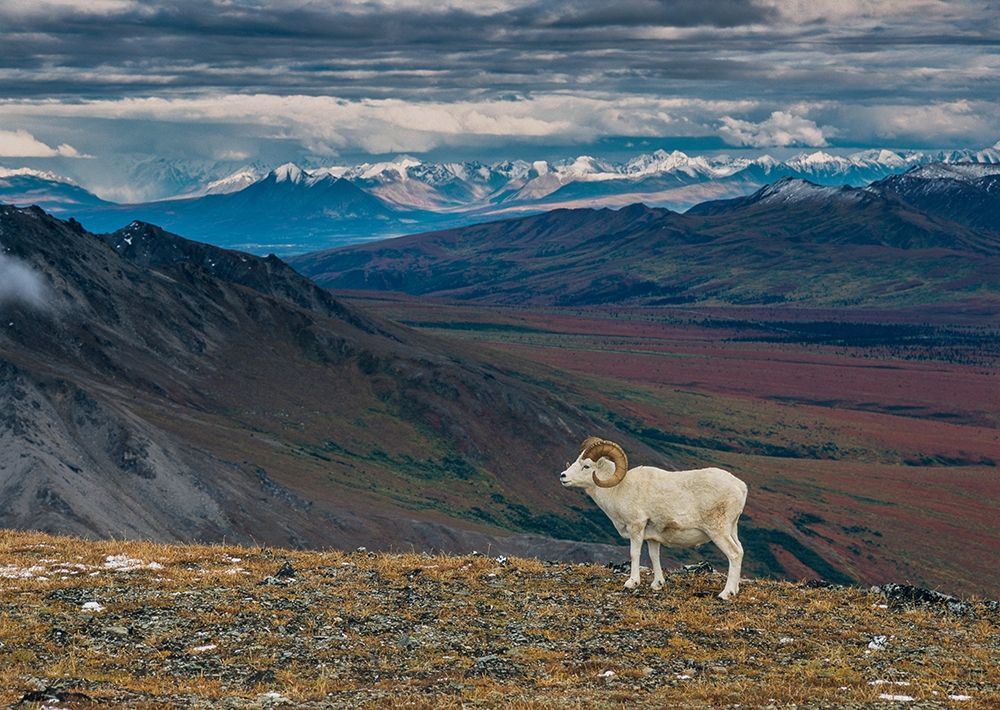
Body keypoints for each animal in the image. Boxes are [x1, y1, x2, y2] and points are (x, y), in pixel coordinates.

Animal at [560, 437, 748, 599]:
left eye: (586, 466)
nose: (563, 476)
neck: (619, 489)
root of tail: (740, 486)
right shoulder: (652, 536)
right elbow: (653, 556)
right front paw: (657, 584)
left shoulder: (636, 527)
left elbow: (634, 553)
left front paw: (632, 583)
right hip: (732, 529)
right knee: (740, 551)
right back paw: (735, 590)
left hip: (718, 531)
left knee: (734, 554)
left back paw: (725, 594)